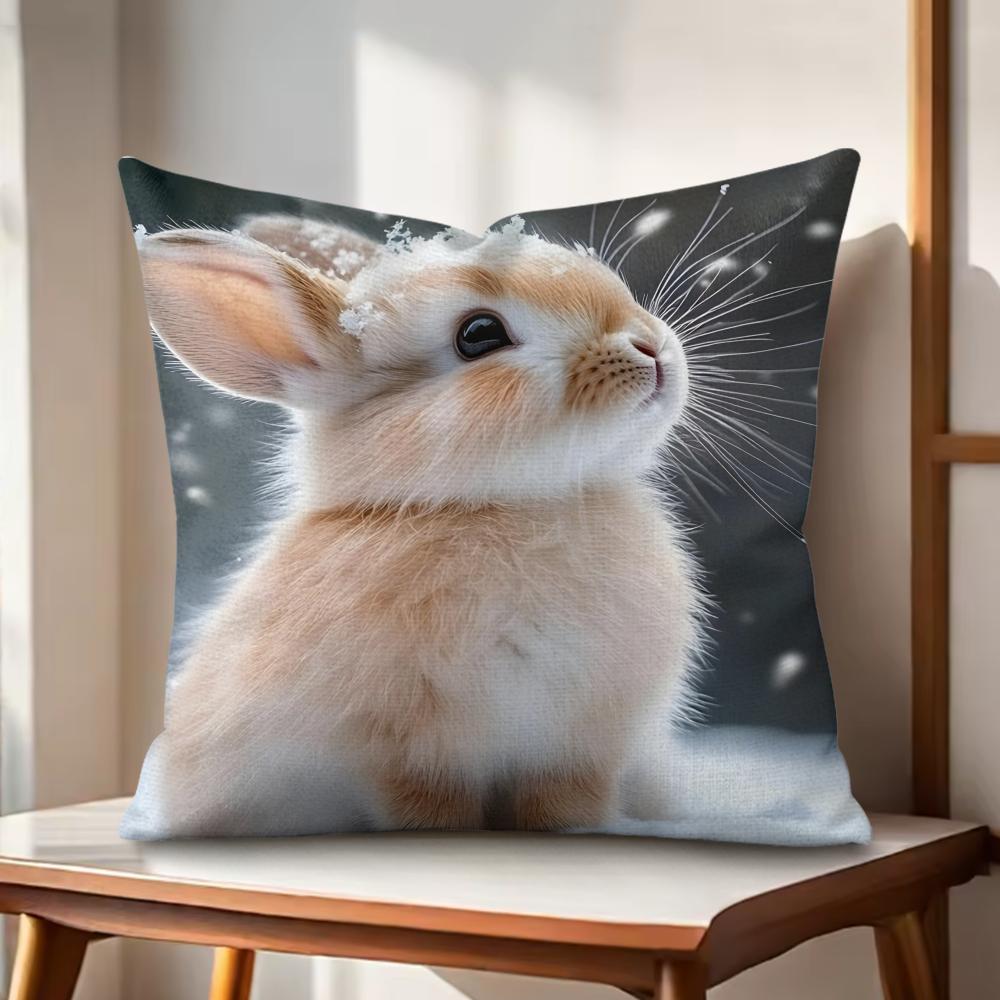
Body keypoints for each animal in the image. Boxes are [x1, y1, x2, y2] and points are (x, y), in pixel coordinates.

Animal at [131, 211, 704, 836]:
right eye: (479, 334)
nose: (650, 347)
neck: (505, 505)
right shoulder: (405, 748)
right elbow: (431, 810)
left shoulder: (579, 745)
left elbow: (562, 806)